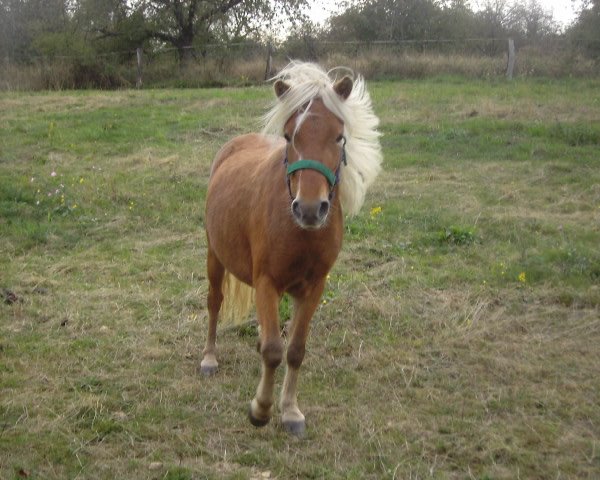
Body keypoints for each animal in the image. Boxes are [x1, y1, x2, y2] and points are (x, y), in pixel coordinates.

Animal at [200, 61, 380, 436]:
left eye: (339, 137)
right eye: (288, 137)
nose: (310, 209)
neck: (301, 232)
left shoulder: (313, 288)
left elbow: (295, 350)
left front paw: (291, 411)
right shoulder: (267, 281)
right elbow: (273, 351)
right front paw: (261, 409)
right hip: (214, 256)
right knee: (214, 302)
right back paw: (209, 357)